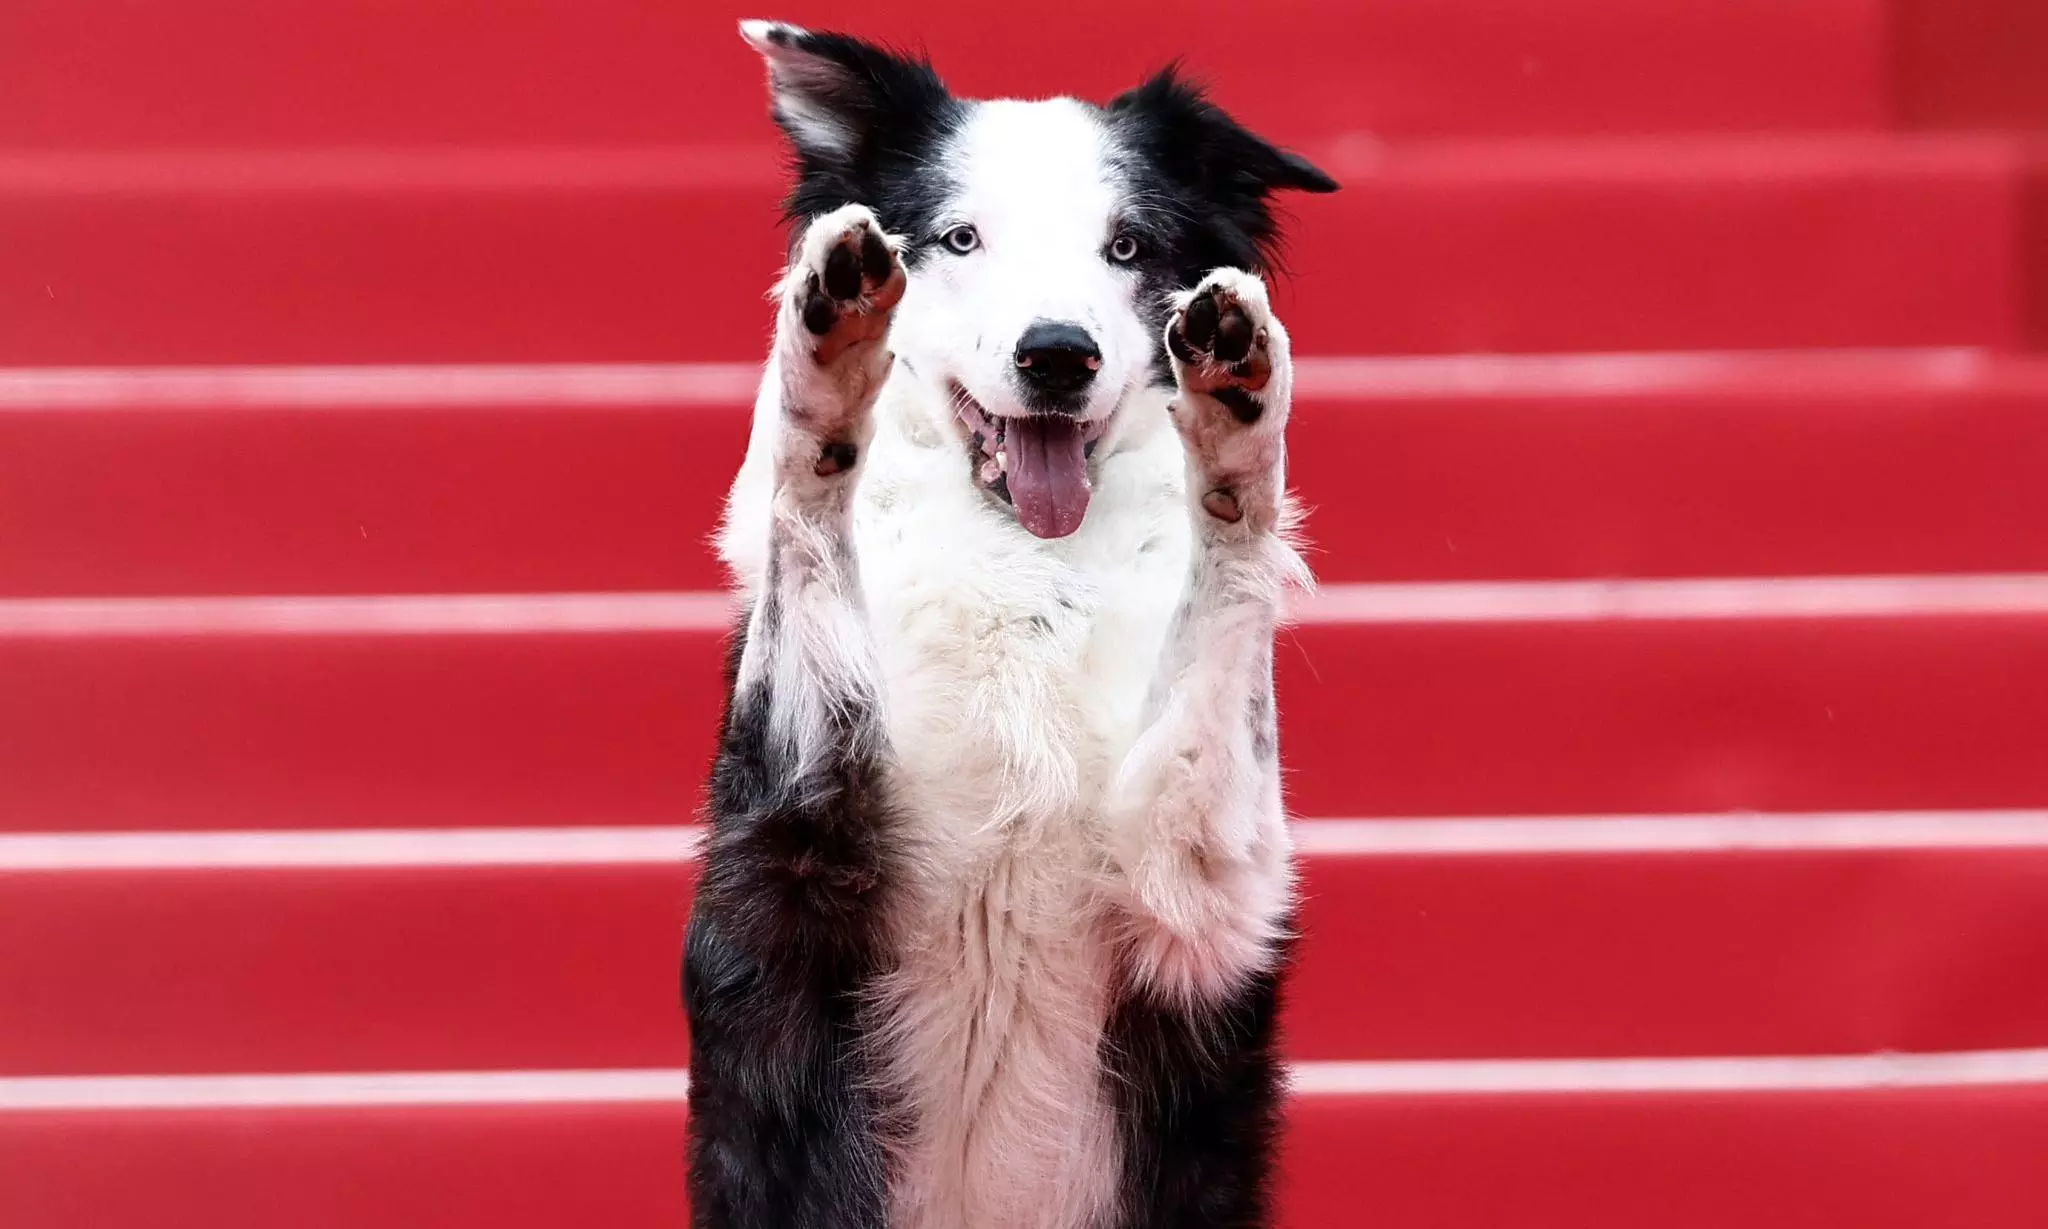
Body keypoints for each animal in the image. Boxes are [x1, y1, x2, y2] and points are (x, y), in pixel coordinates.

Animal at [679, 21, 1335, 1229]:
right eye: (958, 237)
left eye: (1126, 246)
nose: (1057, 353)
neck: (1027, 583)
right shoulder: (796, 818)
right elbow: (808, 503)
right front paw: (828, 349)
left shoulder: (1203, 889)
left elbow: (1228, 573)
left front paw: (1237, 417)